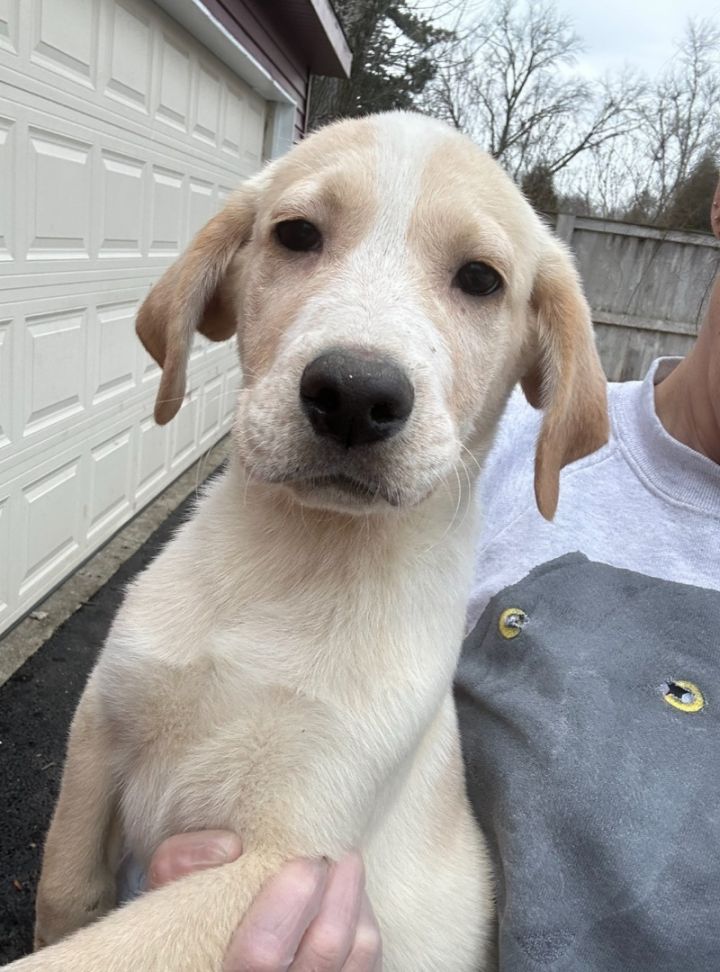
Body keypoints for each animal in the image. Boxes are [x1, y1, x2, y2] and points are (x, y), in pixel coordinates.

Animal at [18, 110, 608, 968]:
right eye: (297, 235)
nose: (356, 394)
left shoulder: (284, 856)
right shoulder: (98, 731)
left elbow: (99, 952)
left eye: (480, 279)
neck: (295, 559)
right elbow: (64, 895)